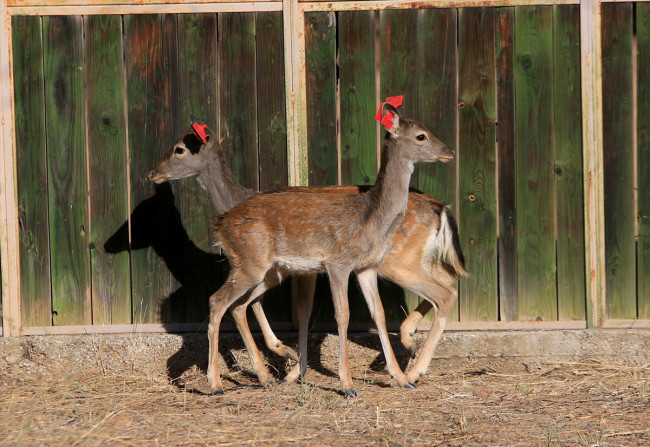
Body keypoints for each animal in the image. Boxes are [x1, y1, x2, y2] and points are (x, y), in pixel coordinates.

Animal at [149, 99, 464, 396]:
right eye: (421, 136)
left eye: (178, 149)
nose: (450, 151)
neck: (371, 216)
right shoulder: (336, 263)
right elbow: (337, 315)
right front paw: (344, 382)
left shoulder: (364, 266)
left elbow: (377, 314)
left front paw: (398, 377)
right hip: (254, 265)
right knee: (220, 301)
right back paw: (216, 383)